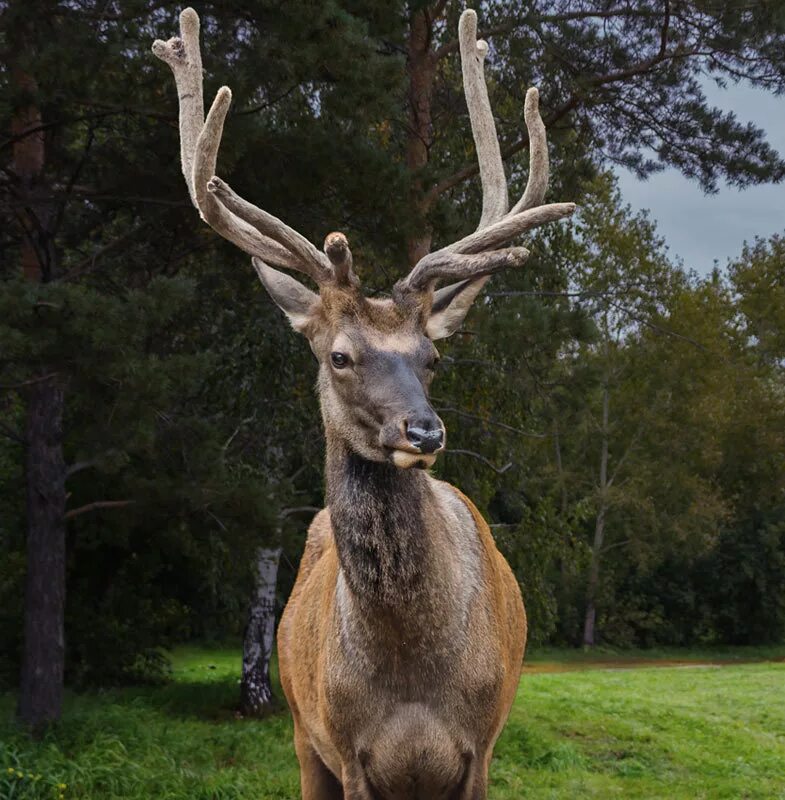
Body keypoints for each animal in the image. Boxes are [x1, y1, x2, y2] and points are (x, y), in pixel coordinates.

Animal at [153, 7, 572, 800]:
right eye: (339, 356)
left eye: (432, 358)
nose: (424, 432)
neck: (410, 676)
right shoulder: (346, 750)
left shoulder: (483, 746)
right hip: (298, 731)